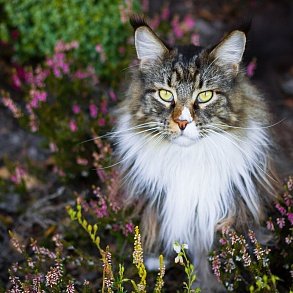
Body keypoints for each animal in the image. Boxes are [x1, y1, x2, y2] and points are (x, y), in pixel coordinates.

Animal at [113, 16, 274, 292]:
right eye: (165, 94)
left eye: (205, 95)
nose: (182, 122)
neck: (186, 161)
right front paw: (155, 258)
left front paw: (208, 282)